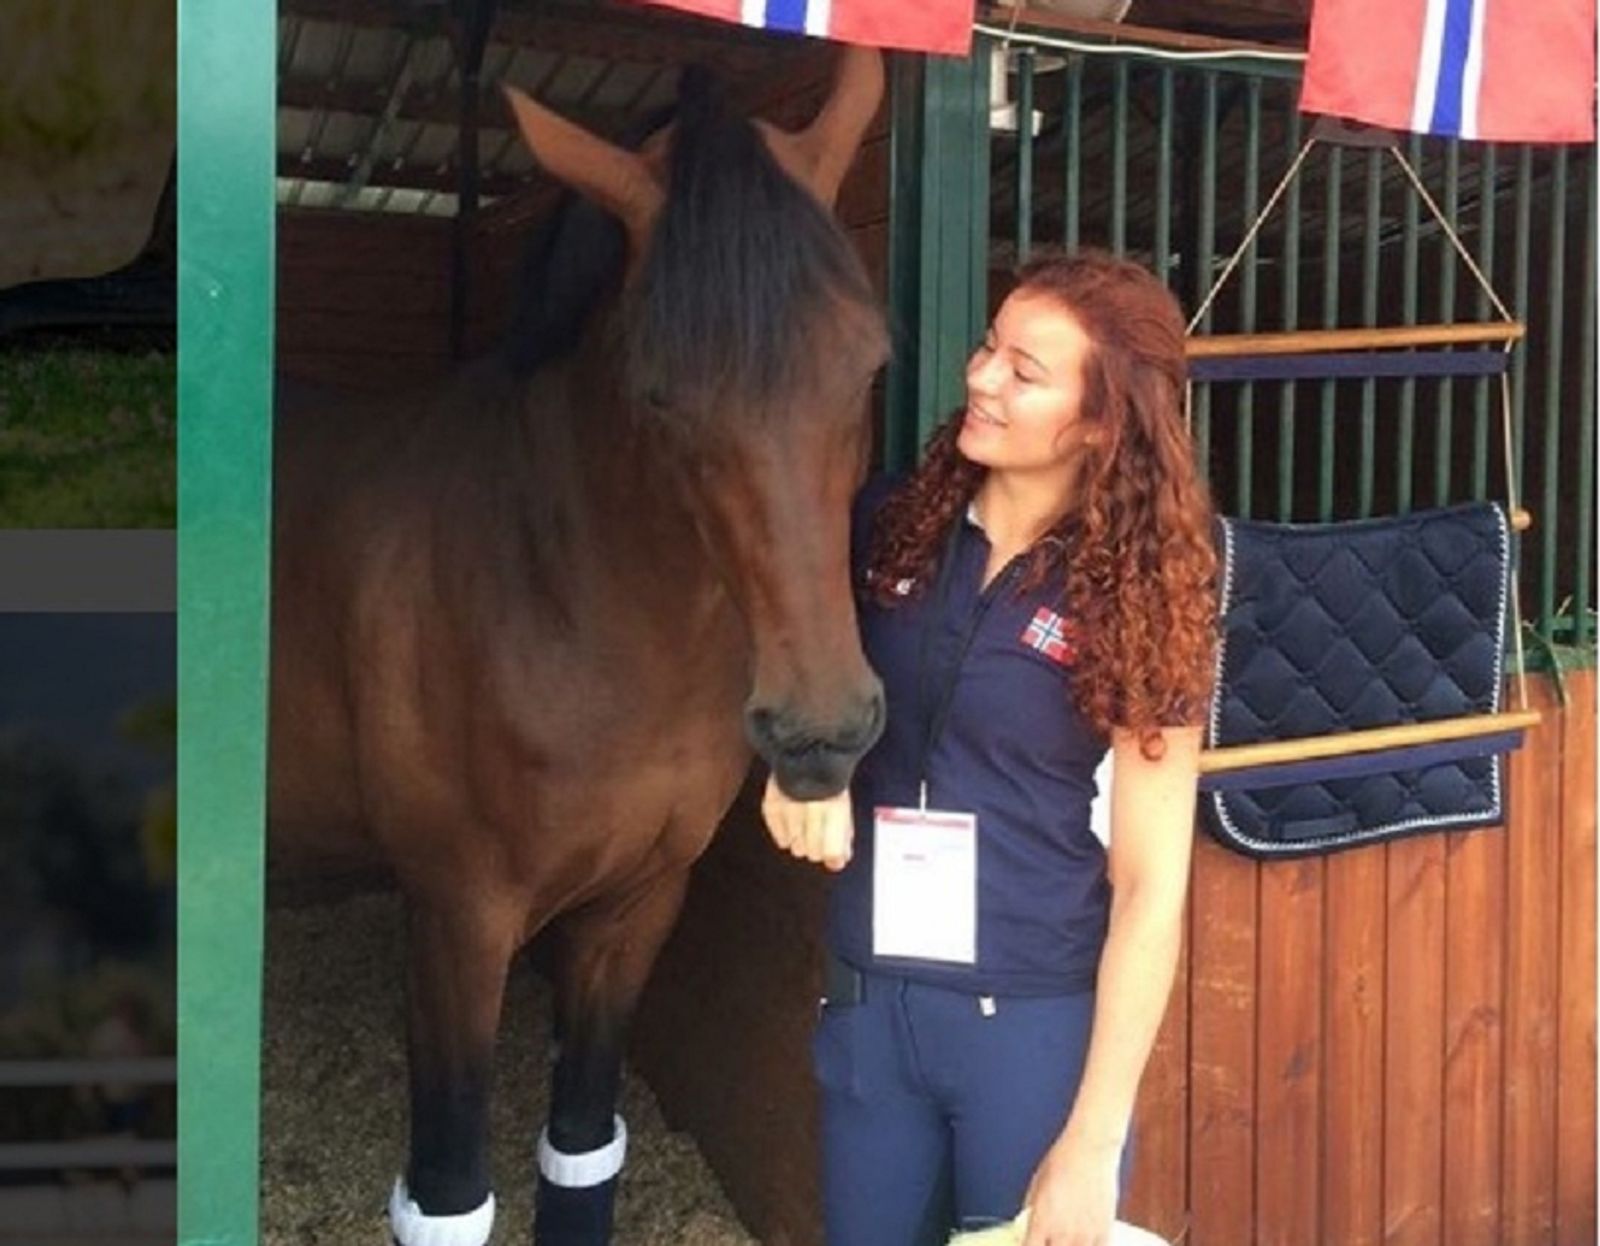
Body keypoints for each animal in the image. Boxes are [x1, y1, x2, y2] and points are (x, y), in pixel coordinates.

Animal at [267, 46, 889, 1246]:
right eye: (658, 391)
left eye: (869, 363)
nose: (819, 730)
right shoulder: (456, 923)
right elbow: (452, 1191)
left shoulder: (633, 909)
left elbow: (582, 1147)